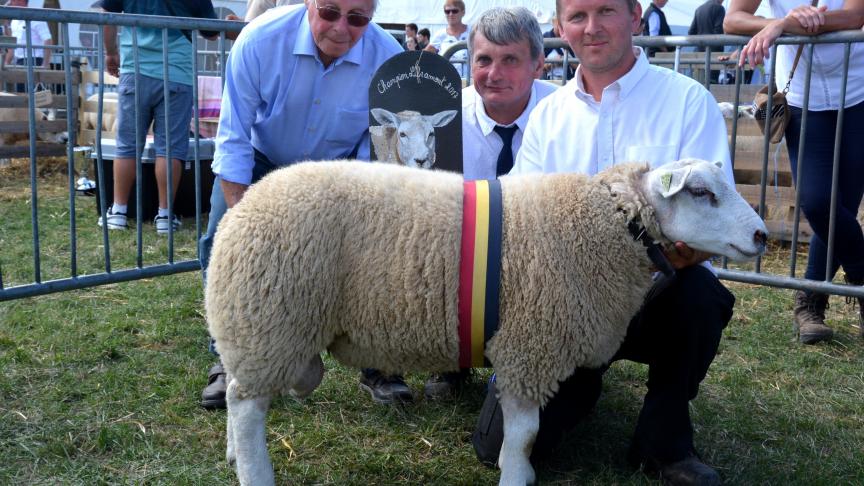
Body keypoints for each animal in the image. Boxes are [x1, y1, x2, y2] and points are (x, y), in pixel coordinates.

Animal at [206, 158, 768, 484]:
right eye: (702, 193)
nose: (762, 235)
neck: (609, 224)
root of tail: (246, 204)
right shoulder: (529, 349)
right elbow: (522, 438)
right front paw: (517, 478)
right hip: (271, 320)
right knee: (247, 406)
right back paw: (253, 471)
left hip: (262, 327)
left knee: (237, 394)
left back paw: (232, 454)